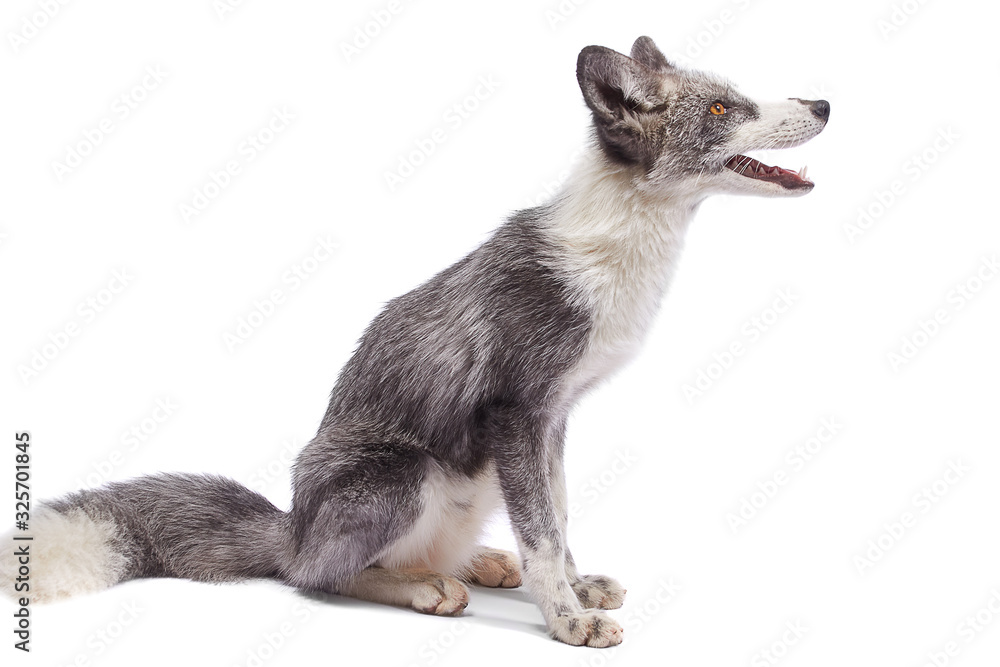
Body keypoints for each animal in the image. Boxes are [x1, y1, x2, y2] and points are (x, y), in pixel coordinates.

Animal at [2, 36, 829, 647]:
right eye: (723, 107)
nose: (823, 101)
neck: (611, 257)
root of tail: (290, 524)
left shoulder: (555, 419)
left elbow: (558, 520)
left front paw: (570, 585)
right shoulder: (518, 413)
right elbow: (542, 533)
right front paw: (565, 619)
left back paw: (479, 561)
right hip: (408, 472)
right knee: (315, 575)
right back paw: (422, 585)